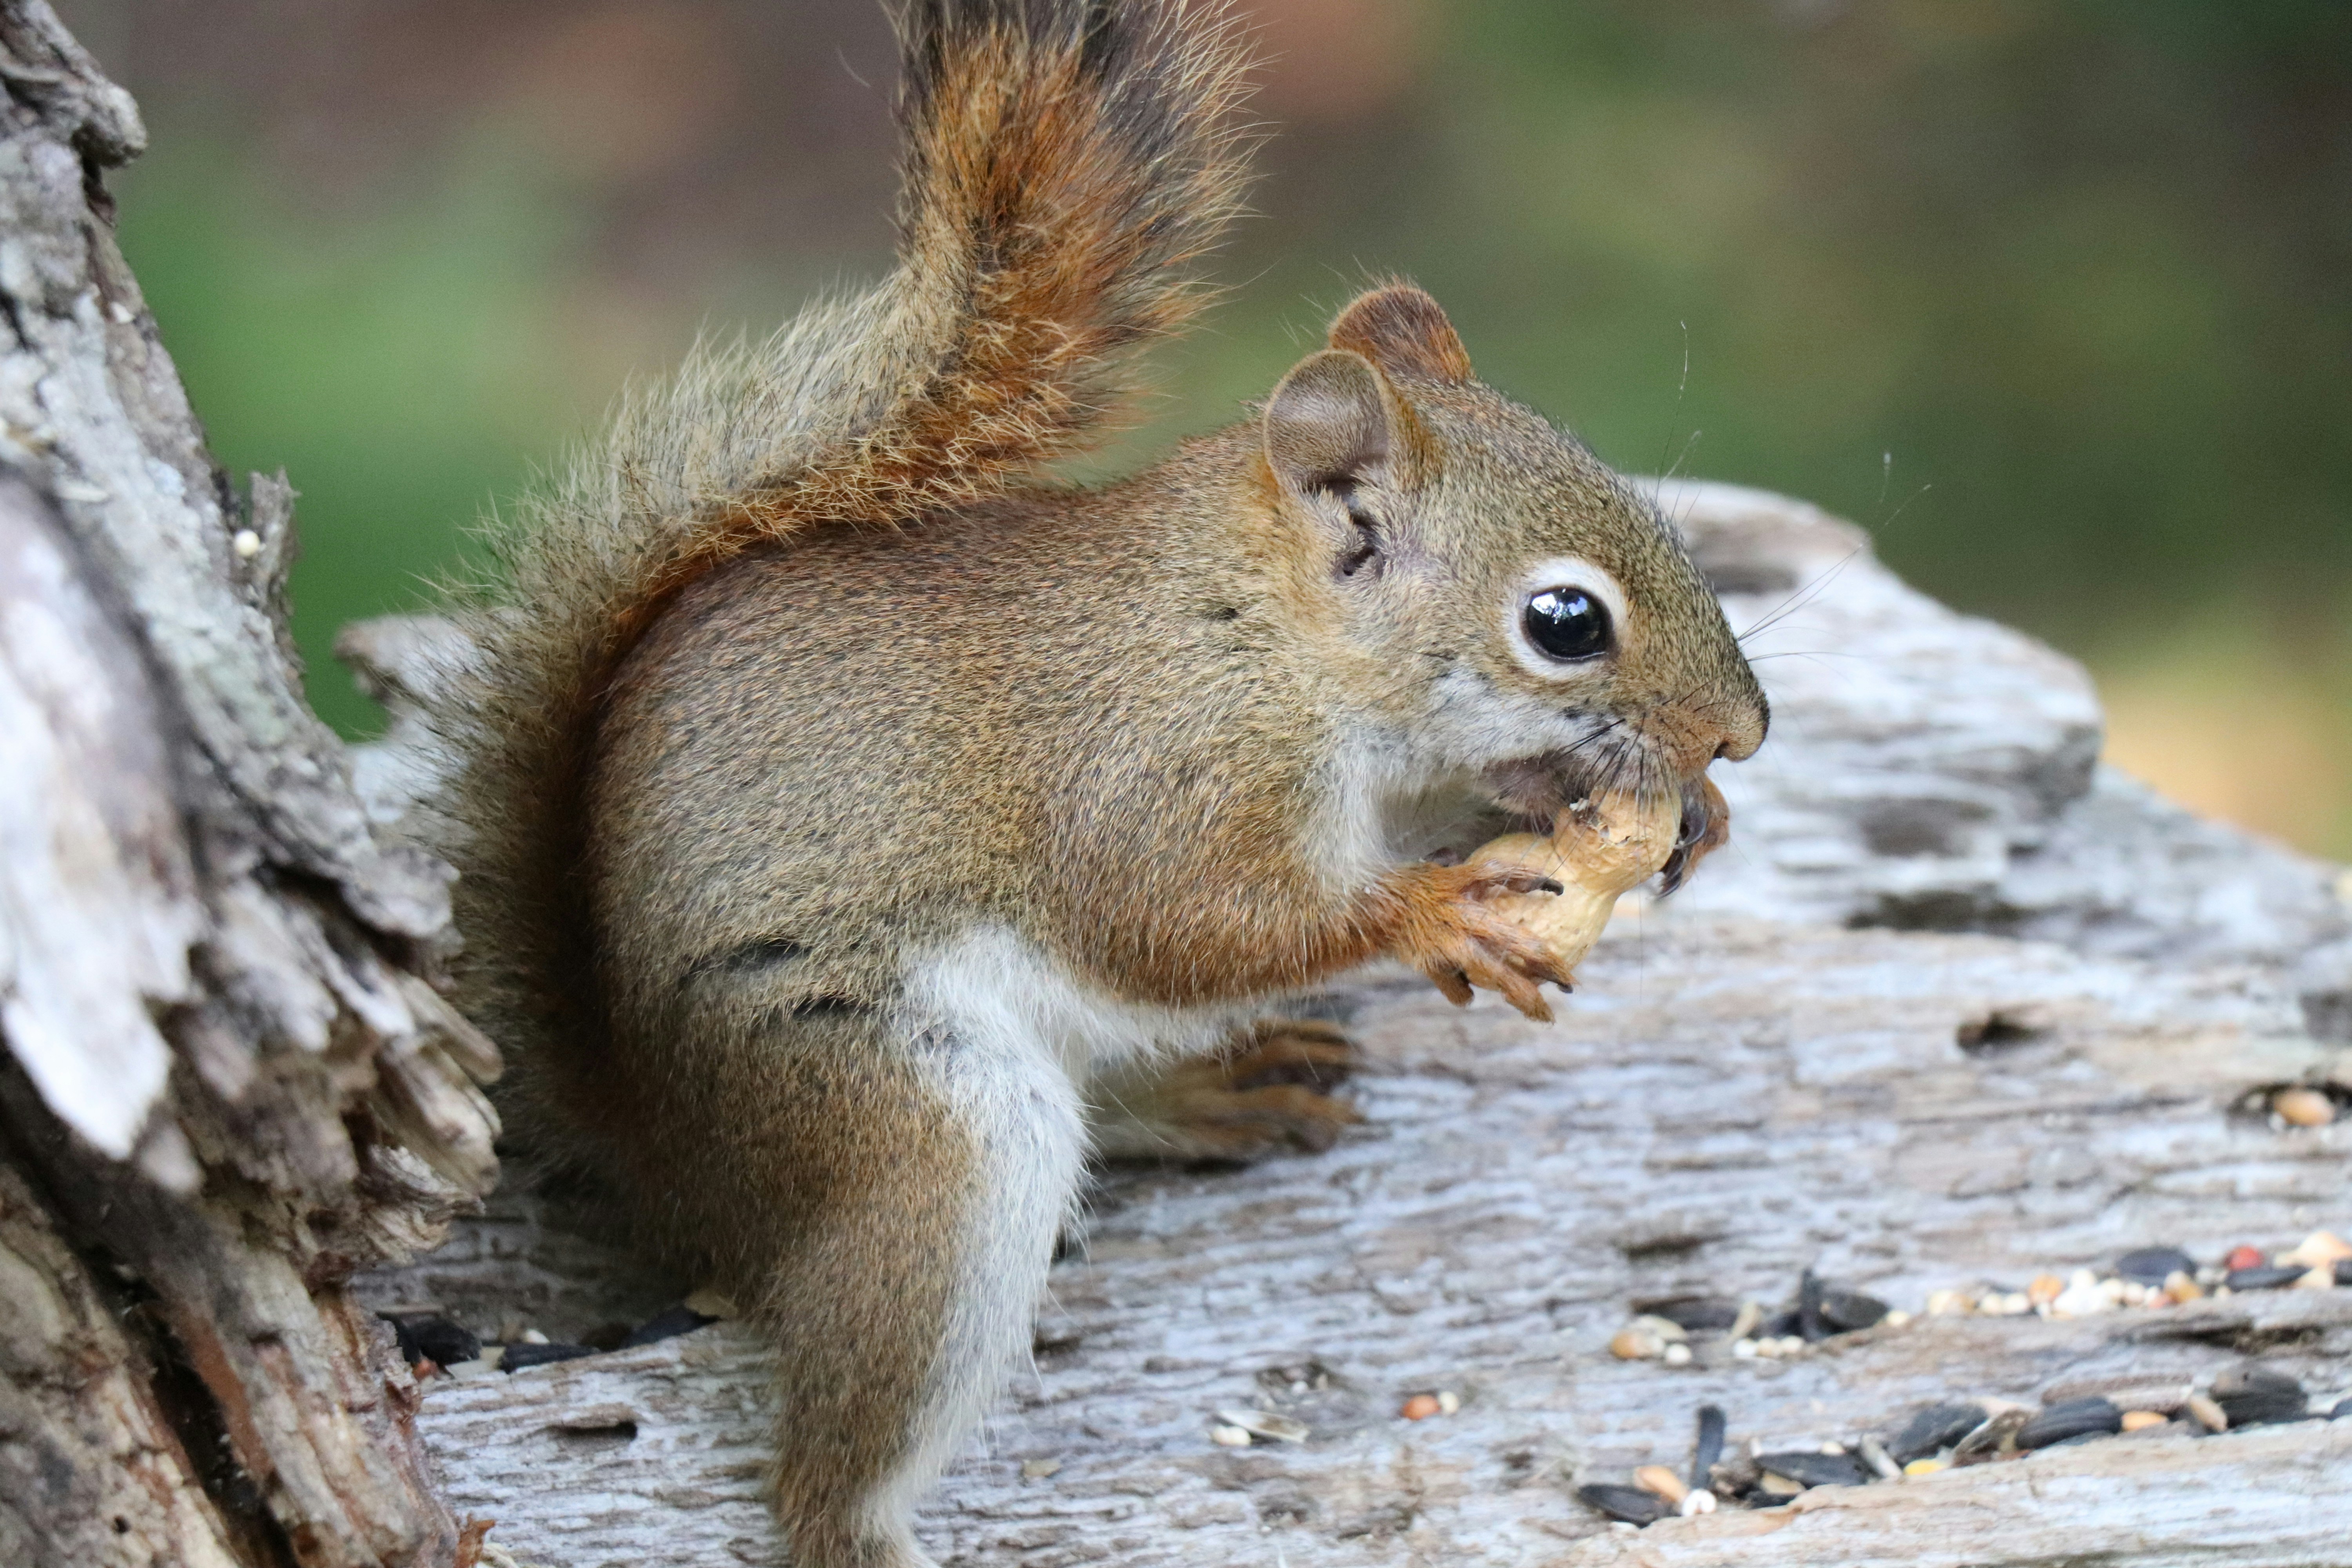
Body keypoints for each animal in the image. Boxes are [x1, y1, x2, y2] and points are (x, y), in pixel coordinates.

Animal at [423, 2, 1766, 1563]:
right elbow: (1175, 924)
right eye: (1564, 621)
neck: (1268, 634)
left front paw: (1648, 814)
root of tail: (650, 1139)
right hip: (902, 1109)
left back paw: (1212, 1094)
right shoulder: (1152, 769)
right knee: (833, 1444)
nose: (1742, 732)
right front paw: (1437, 913)